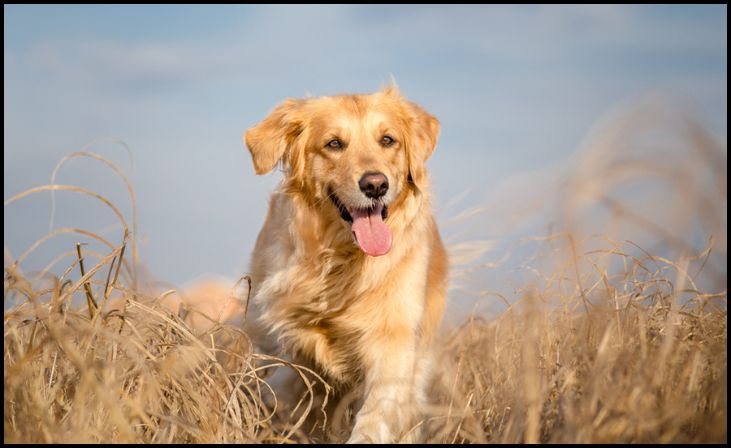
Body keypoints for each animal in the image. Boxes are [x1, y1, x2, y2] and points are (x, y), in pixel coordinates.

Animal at [244, 86, 446, 442]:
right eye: (334, 143)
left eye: (388, 140)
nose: (375, 185)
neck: (341, 261)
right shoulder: (285, 343)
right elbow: (284, 392)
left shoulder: (393, 343)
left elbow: (375, 415)